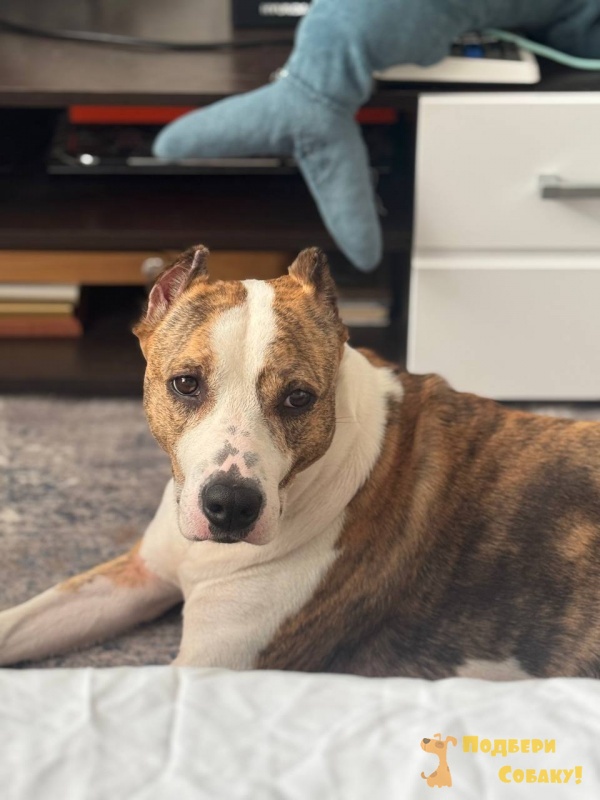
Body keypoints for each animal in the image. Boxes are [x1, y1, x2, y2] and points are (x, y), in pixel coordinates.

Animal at [1, 244, 600, 677]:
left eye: (299, 398)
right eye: (186, 384)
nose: (230, 506)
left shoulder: (208, 668)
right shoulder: (139, 574)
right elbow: (17, 623)